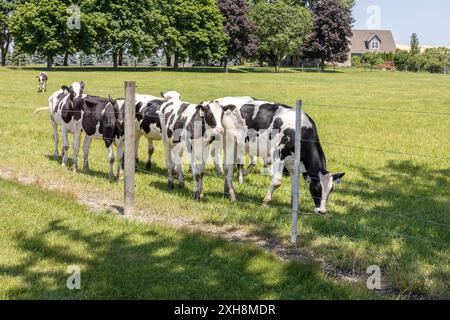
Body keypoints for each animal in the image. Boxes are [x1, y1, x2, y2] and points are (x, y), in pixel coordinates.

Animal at [207, 96, 344, 214]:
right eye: (317, 187)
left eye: (331, 190)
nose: (322, 211)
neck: (300, 131)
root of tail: (221, 100)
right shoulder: (278, 154)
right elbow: (277, 181)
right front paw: (265, 202)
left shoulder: (293, 163)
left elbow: (295, 184)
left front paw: (293, 206)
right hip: (230, 142)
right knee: (228, 168)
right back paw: (232, 196)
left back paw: (226, 191)